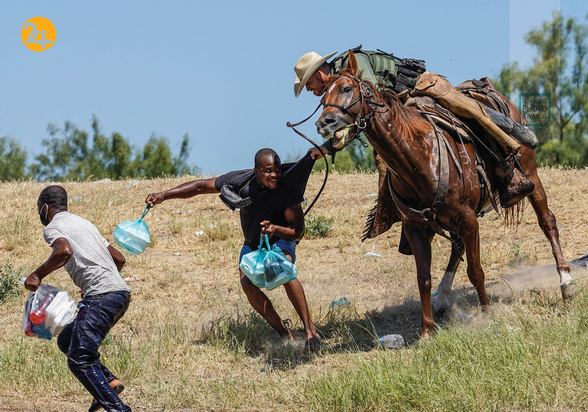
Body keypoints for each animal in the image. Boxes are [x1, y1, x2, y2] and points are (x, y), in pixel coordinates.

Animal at [314, 50, 576, 338]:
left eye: (347, 89)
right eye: (322, 98)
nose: (324, 123)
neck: (420, 156)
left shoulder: (469, 220)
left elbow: (476, 271)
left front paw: (487, 314)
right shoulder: (417, 227)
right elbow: (424, 279)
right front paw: (427, 332)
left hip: (531, 176)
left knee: (547, 222)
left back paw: (566, 281)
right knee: (457, 246)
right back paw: (442, 298)